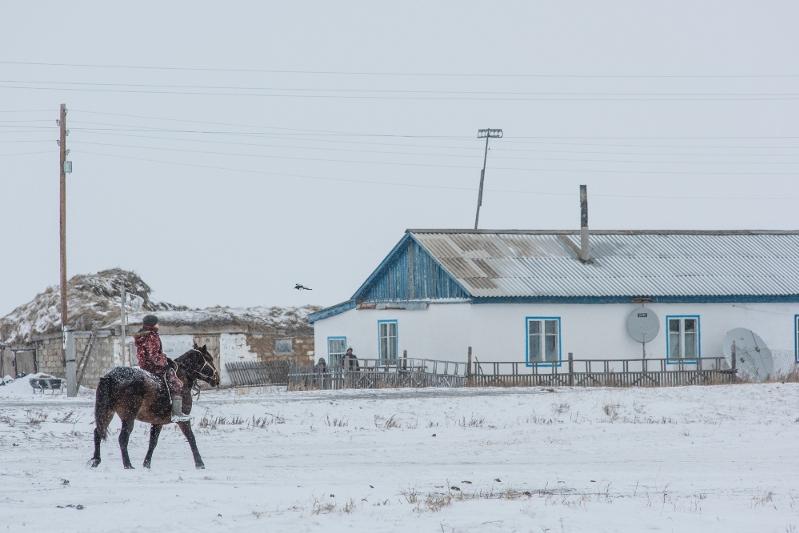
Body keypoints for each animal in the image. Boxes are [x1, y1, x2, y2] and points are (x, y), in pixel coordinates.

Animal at [90, 342, 220, 468]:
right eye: (210, 359)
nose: (217, 378)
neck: (182, 377)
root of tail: (109, 377)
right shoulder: (182, 420)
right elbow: (191, 438)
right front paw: (200, 464)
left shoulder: (157, 422)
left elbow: (153, 442)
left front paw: (146, 464)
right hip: (128, 417)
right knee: (122, 438)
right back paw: (128, 465)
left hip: (108, 412)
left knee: (98, 432)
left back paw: (96, 460)